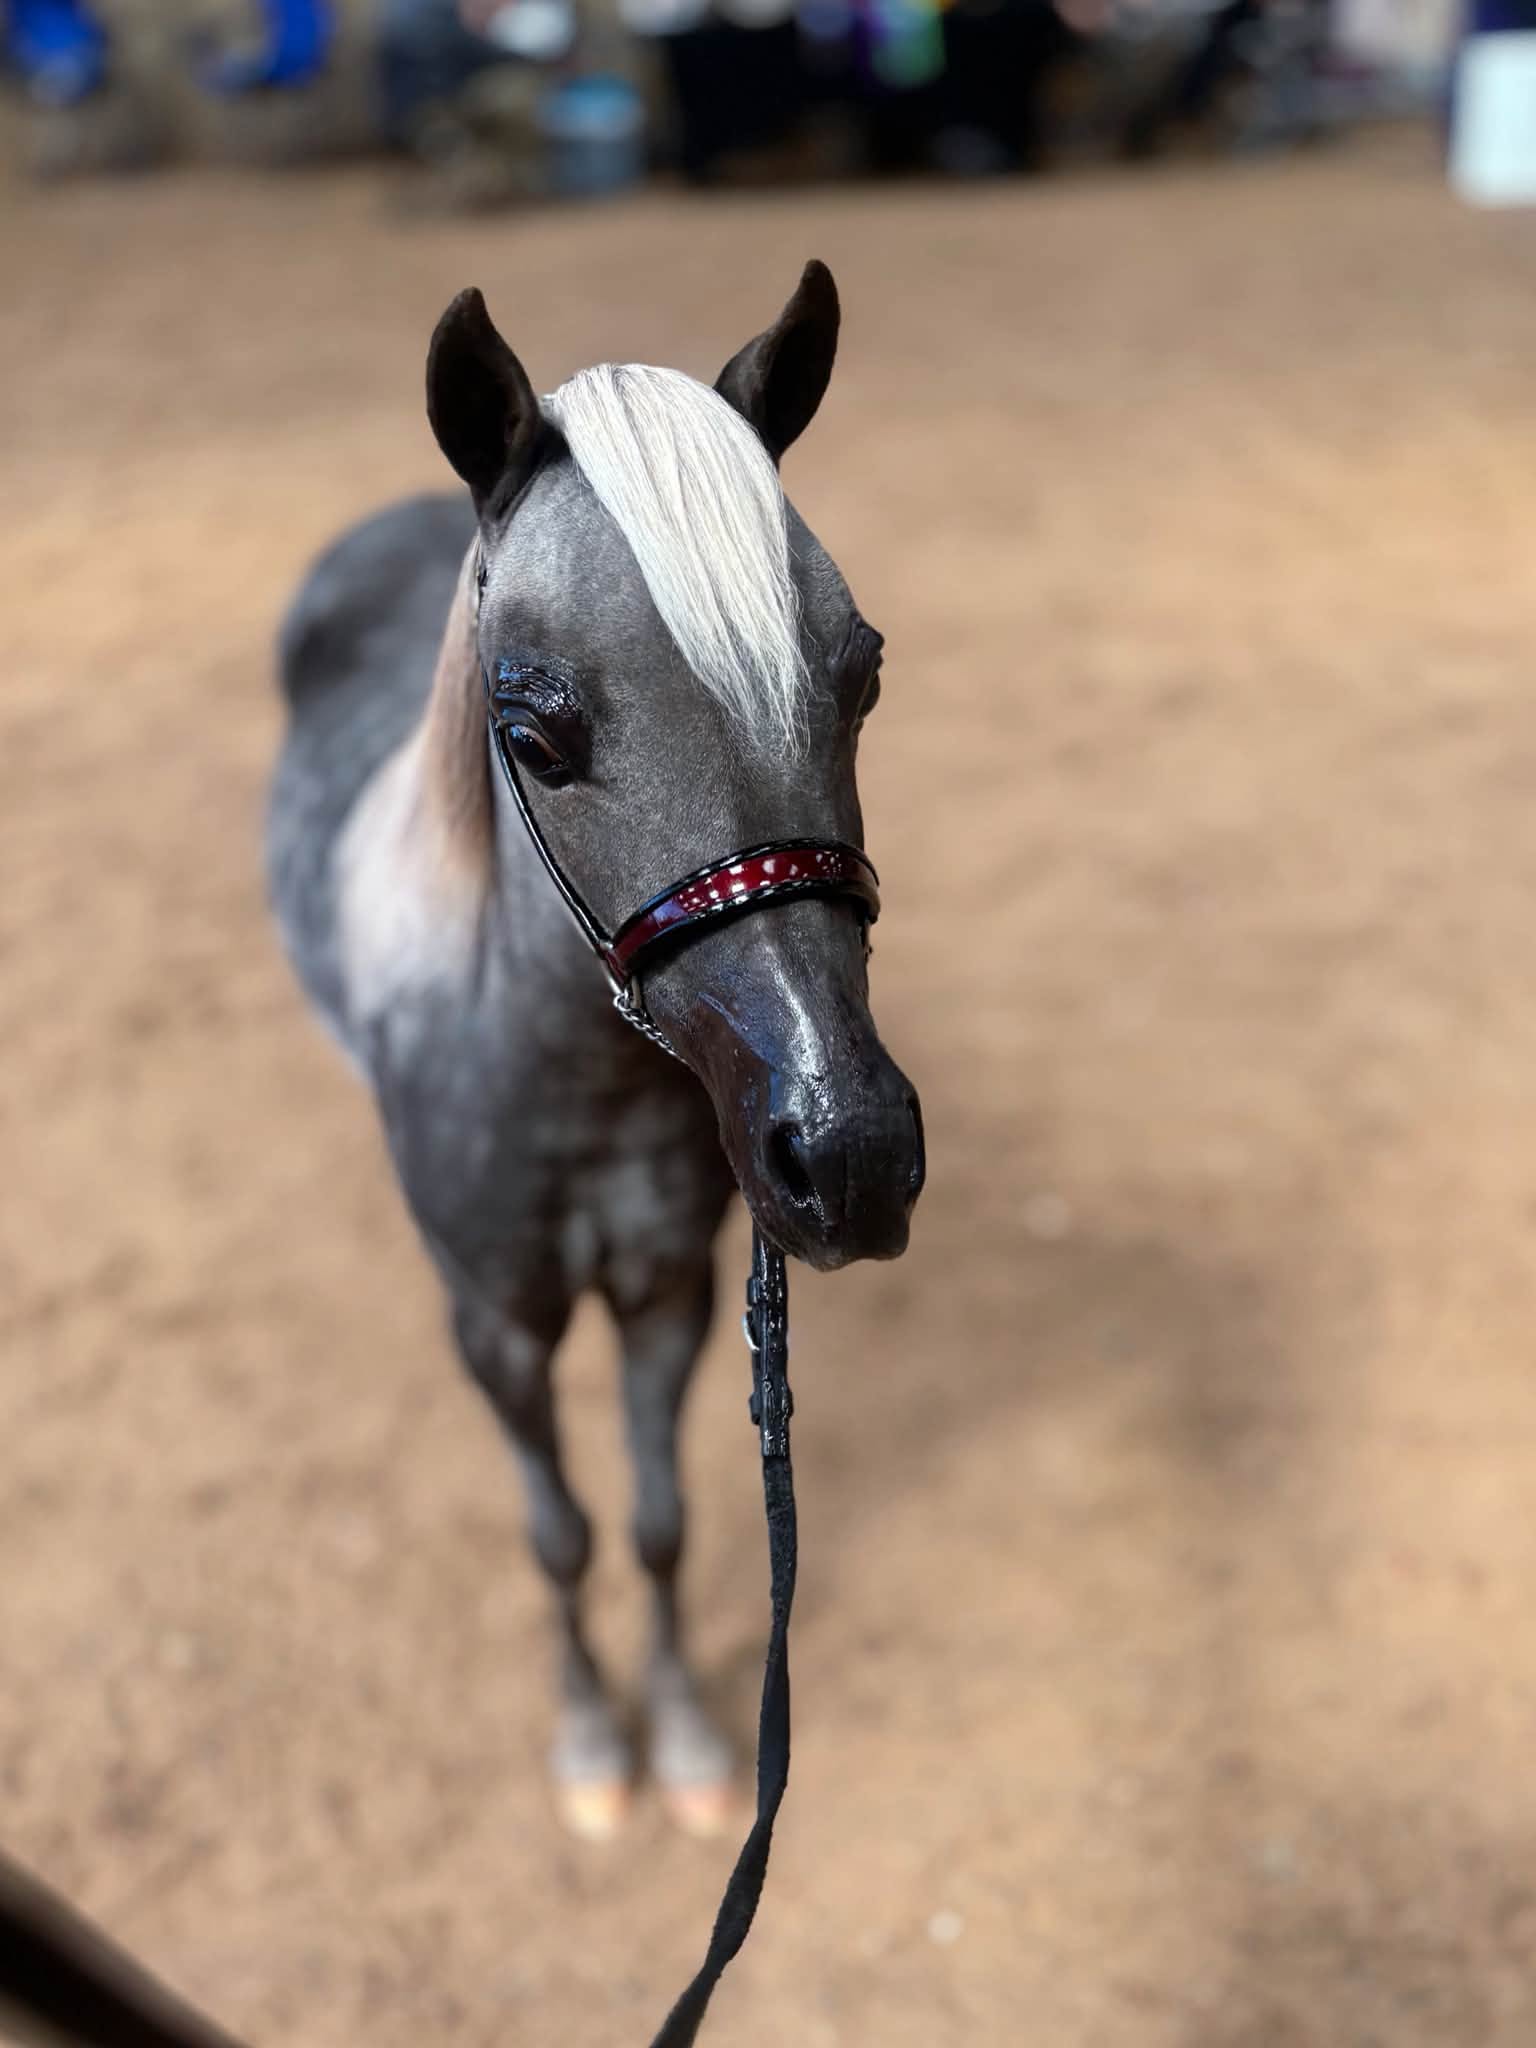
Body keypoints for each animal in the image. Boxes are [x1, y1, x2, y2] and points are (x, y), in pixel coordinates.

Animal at [265, 261, 926, 1838]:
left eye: (863, 674)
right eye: (532, 729)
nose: (853, 1155)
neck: (564, 1074)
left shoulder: (667, 1294)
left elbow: (660, 1521)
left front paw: (681, 1742)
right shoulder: (501, 1327)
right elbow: (558, 1532)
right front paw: (587, 1746)